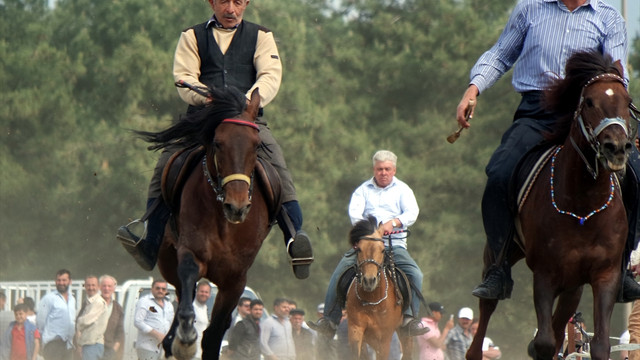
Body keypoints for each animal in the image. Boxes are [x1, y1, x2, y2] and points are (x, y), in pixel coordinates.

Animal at [138, 87, 272, 360]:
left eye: (255, 145)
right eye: (218, 143)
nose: (237, 206)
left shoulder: (236, 279)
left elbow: (213, 336)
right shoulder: (191, 253)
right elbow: (188, 302)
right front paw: (185, 339)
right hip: (168, 259)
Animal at [344, 217, 416, 360]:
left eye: (383, 250)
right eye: (359, 249)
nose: (369, 280)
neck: (372, 300)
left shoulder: (384, 338)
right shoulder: (356, 329)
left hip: (405, 335)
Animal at [468, 50, 636, 360]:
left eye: (627, 101)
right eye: (589, 101)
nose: (616, 148)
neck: (582, 205)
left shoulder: (604, 275)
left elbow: (599, 344)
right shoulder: (545, 275)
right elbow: (545, 342)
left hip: (572, 285)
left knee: (561, 327)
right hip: (500, 256)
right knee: (487, 310)